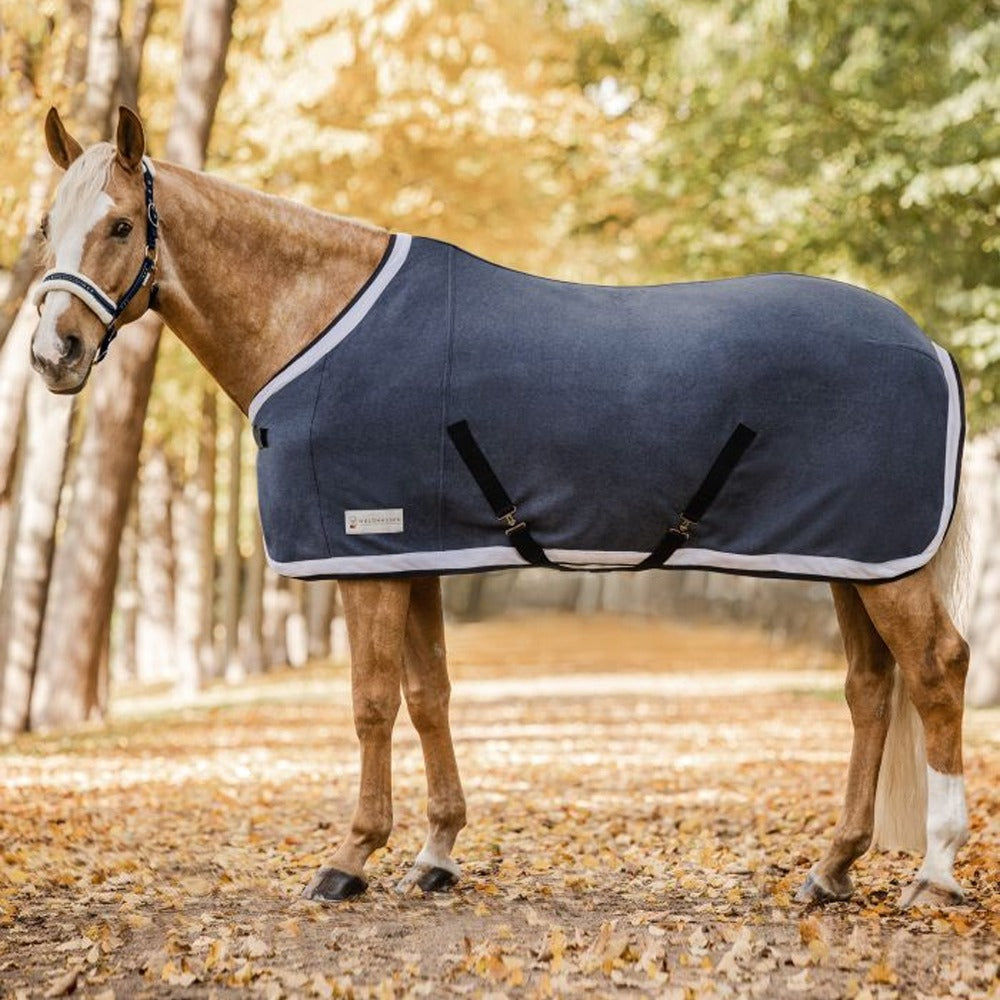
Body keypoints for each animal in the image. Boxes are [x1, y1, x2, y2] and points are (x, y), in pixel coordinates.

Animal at [29, 106, 971, 909]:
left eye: (121, 225)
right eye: (45, 227)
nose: (52, 354)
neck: (316, 322)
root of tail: (926, 342)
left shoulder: (363, 554)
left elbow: (371, 703)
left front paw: (350, 858)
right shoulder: (414, 554)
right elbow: (429, 695)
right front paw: (436, 854)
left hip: (887, 566)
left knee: (935, 671)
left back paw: (933, 873)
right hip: (853, 558)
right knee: (870, 688)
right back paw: (833, 868)